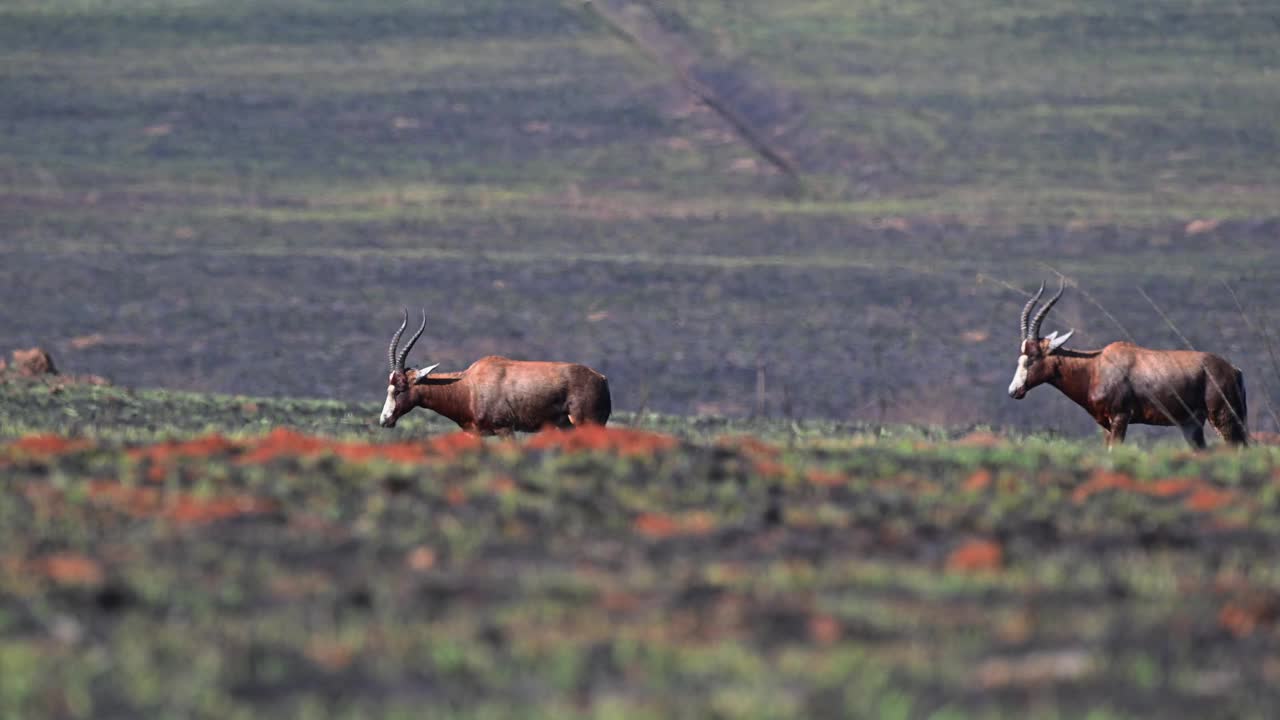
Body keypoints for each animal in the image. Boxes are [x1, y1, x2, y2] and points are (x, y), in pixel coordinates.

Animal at [376, 307, 611, 435]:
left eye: (401, 387)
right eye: (389, 386)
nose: (384, 420)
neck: (468, 385)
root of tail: (601, 378)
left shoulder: (505, 429)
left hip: (587, 424)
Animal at [1003, 280, 1244, 448]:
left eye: (1033, 356)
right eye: (1020, 356)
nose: (1013, 391)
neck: (1096, 366)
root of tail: (1233, 370)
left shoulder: (1120, 418)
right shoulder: (1106, 425)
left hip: (1223, 419)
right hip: (1192, 425)